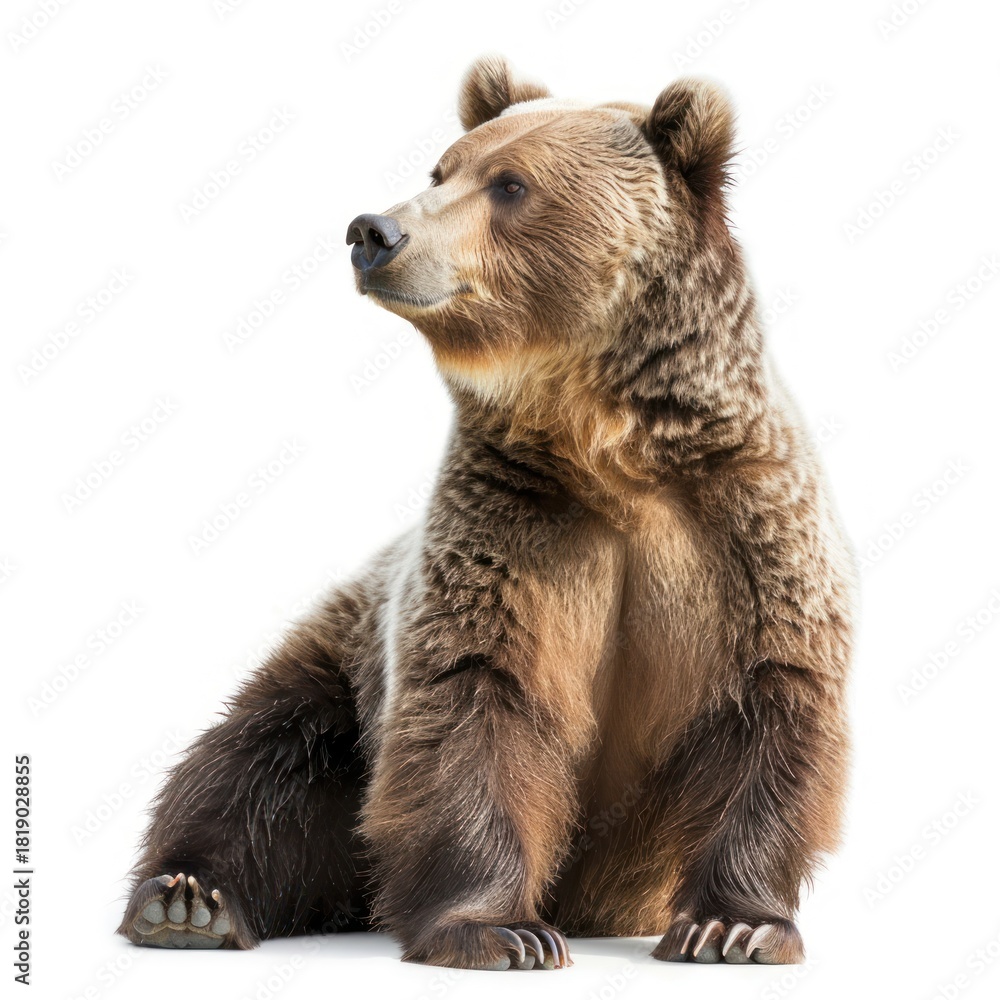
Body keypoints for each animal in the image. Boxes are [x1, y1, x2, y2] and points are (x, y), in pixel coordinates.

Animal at [118, 55, 855, 969]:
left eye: (511, 184)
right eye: (443, 169)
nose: (374, 231)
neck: (610, 448)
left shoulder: (741, 525)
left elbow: (767, 698)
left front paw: (733, 926)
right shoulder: (510, 522)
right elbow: (476, 694)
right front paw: (501, 929)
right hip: (339, 662)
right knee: (259, 758)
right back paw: (188, 898)